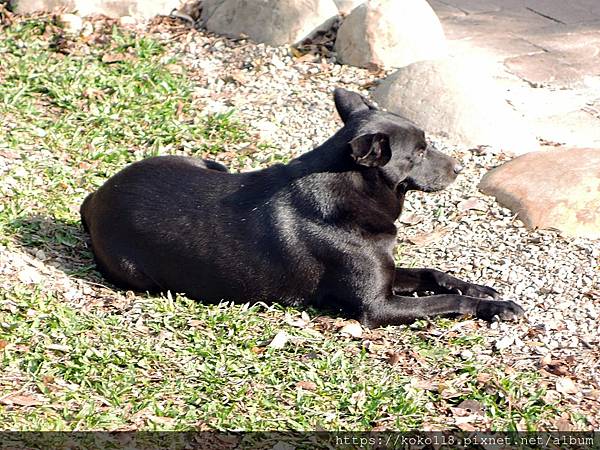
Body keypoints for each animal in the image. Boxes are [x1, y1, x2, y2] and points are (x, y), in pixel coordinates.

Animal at [81, 89, 524, 326]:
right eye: (417, 152)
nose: (460, 168)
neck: (351, 191)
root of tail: (96, 198)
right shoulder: (377, 307)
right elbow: (447, 302)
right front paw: (495, 306)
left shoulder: (387, 273)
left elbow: (434, 273)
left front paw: (480, 288)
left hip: (205, 163)